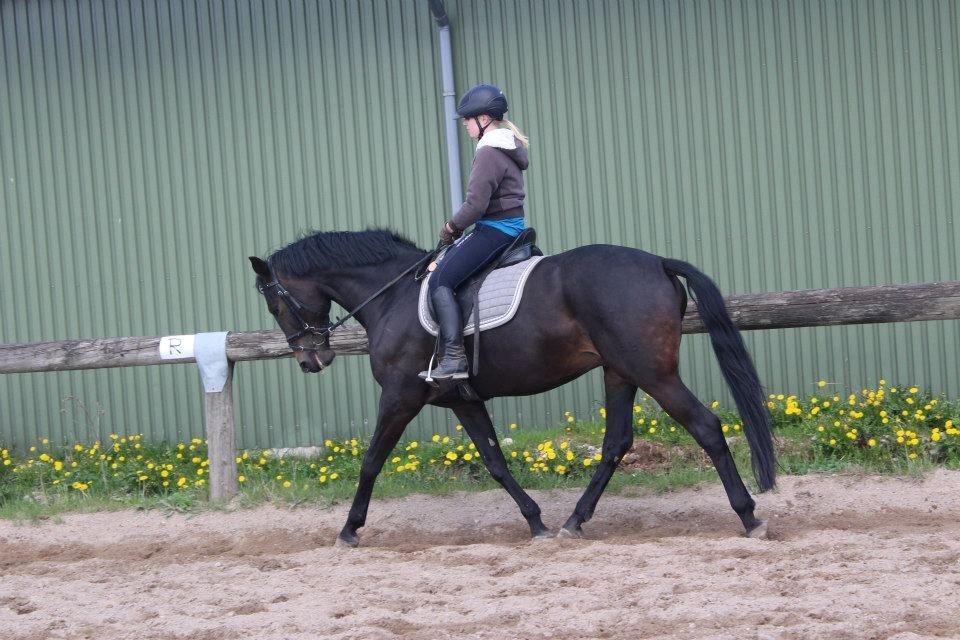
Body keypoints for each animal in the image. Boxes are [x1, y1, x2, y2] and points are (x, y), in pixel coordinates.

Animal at [251, 229, 776, 544]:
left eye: (275, 304)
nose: (310, 360)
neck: (393, 295)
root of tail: (658, 263)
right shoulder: (461, 401)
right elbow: (495, 463)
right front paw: (535, 521)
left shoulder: (400, 396)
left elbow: (371, 462)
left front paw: (349, 529)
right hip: (620, 372)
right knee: (616, 444)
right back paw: (572, 522)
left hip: (653, 373)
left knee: (705, 427)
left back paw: (749, 516)